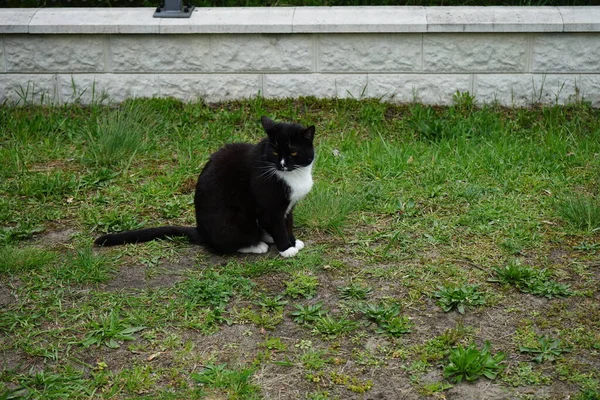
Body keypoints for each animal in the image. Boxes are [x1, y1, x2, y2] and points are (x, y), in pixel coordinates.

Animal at [94, 115, 316, 260]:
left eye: (293, 153)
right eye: (275, 152)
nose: (282, 164)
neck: (294, 175)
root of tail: (201, 231)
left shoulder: (289, 206)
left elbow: (287, 223)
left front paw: (293, 241)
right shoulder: (269, 205)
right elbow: (278, 224)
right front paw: (286, 248)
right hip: (232, 221)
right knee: (224, 244)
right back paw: (256, 245)